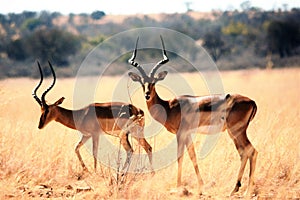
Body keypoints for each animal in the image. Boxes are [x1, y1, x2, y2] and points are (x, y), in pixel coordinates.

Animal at [127, 36, 256, 195]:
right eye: (142, 82)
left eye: (154, 82)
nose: (147, 95)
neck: (169, 107)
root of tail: (252, 101)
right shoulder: (188, 134)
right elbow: (193, 156)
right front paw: (201, 186)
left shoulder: (180, 133)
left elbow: (180, 157)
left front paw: (178, 187)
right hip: (234, 133)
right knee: (244, 152)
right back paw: (236, 188)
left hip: (237, 131)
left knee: (251, 150)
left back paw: (245, 190)